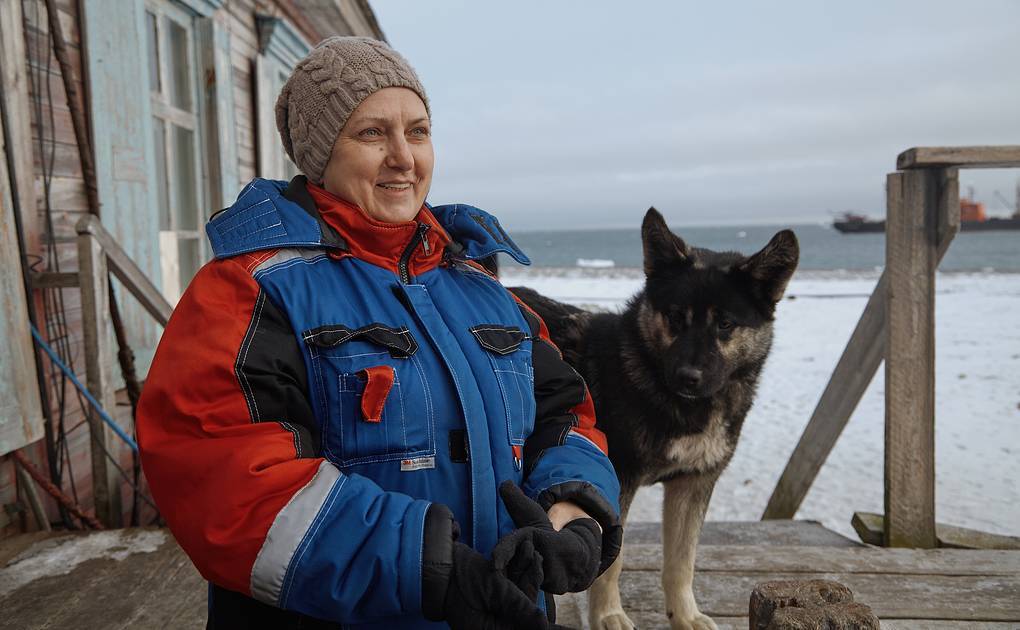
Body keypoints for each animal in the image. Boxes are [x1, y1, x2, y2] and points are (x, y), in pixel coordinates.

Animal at [510, 206, 795, 627]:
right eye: (676, 317)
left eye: (725, 323)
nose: (688, 377)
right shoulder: (618, 482)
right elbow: (612, 560)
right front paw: (608, 615)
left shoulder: (693, 484)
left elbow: (682, 561)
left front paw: (685, 615)